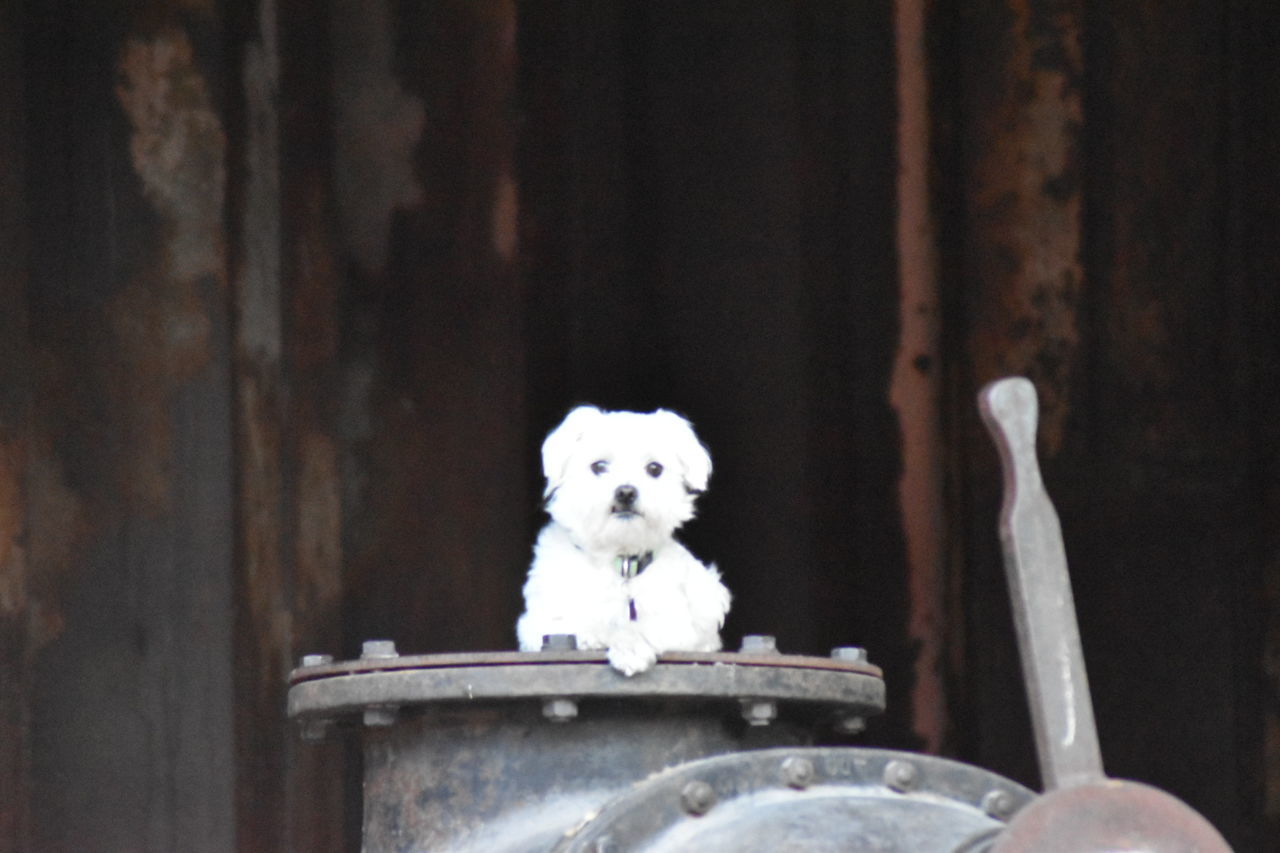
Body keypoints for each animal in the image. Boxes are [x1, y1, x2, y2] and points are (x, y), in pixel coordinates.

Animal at [512, 402, 732, 676]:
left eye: (654, 468)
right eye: (598, 466)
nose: (626, 491)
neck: (620, 560)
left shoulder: (677, 623)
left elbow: (641, 628)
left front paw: (630, 646)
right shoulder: (541, 621)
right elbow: (571, 624)